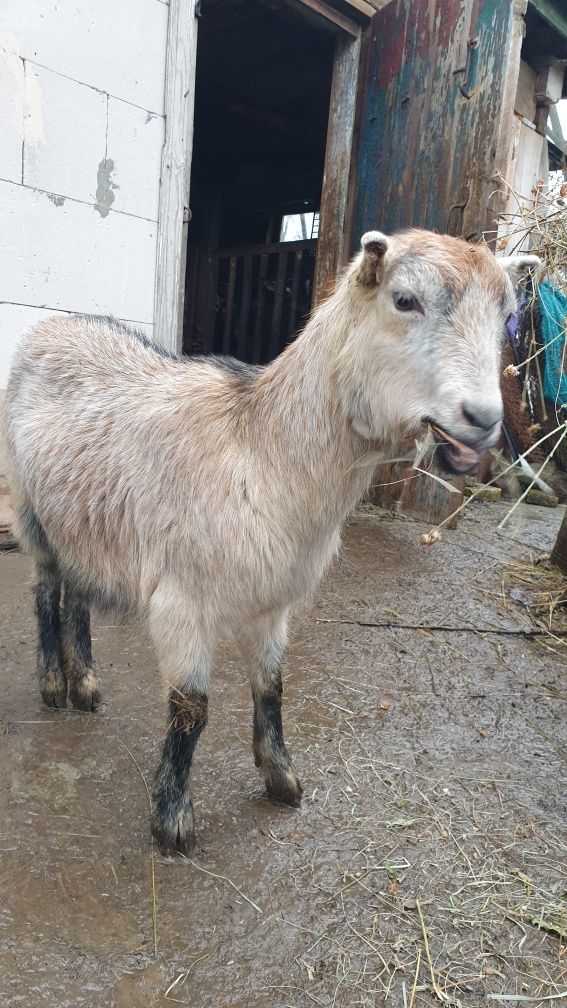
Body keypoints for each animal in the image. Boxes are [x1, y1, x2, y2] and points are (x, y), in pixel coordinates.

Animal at [2, 231, 536, 854]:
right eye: (404, 300)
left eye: (506, 318)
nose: (483, 419)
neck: (261, 450)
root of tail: (50, 325)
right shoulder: (182, 601)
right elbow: (191, 710)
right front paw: (171, 819)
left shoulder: (274, 602)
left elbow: (273, 687)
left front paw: (281, 777)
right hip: (28, 506)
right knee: (45, 589)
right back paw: (53, 682)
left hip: (85, 516)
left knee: (79, 591)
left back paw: (85, 682)